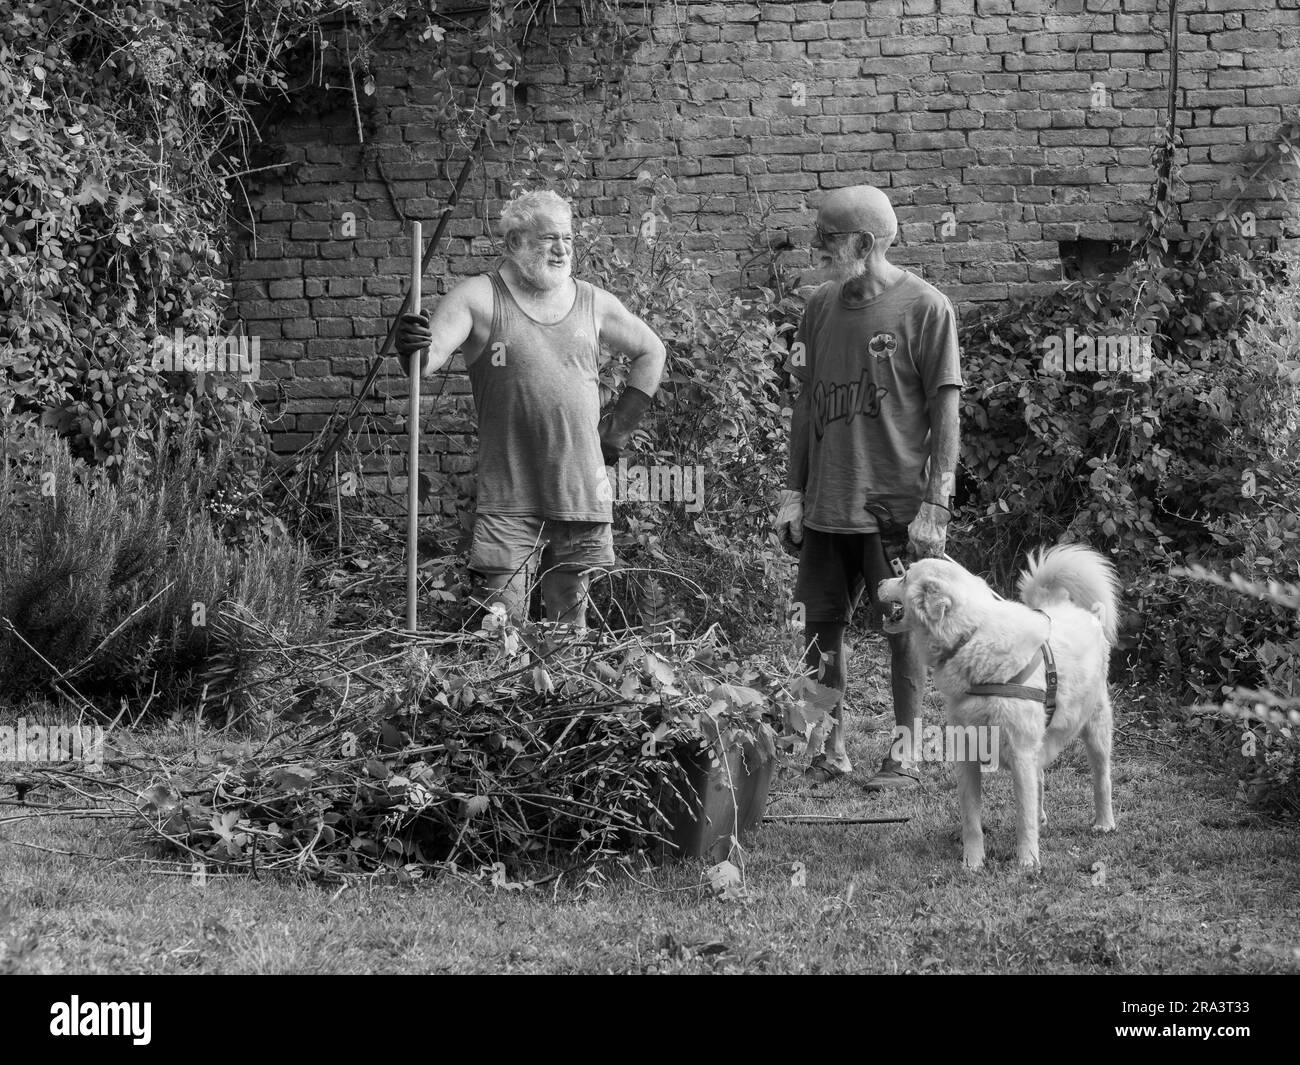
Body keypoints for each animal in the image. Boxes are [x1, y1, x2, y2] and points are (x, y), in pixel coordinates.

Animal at [878, 546, 1123, 868]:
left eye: (905, 576)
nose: (880, 582)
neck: (971, 637)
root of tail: (1086, 614)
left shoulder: (1020, 754)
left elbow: (1023, 817)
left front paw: (1027, 862)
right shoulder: (967, 756)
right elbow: (971, 819)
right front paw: (972, 863)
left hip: (1095, 729)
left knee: (1101, 778)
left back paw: (1104, 823)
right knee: (1040, 781)